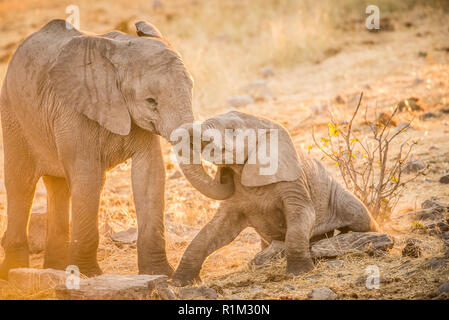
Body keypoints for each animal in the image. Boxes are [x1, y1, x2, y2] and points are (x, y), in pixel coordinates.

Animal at [0, 20, 233, 278]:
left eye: (191, 89)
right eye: (151, 101)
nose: (226, 171)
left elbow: (150, 174)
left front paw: (159, 273)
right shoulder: (73, 113)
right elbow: (88, 178)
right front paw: (89, 275)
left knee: (58, 187)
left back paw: (55, 269)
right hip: (14, 116)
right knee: (21, 184)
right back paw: (14, 272)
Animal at [172, 110, 378, 284]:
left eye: (232, 130)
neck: (262, 121)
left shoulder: (294, 182)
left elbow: (302, 215)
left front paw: (299, 272)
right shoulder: (235, 197)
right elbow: (215, 229)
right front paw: (180, 282)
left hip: (336, 194)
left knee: (361, 218)